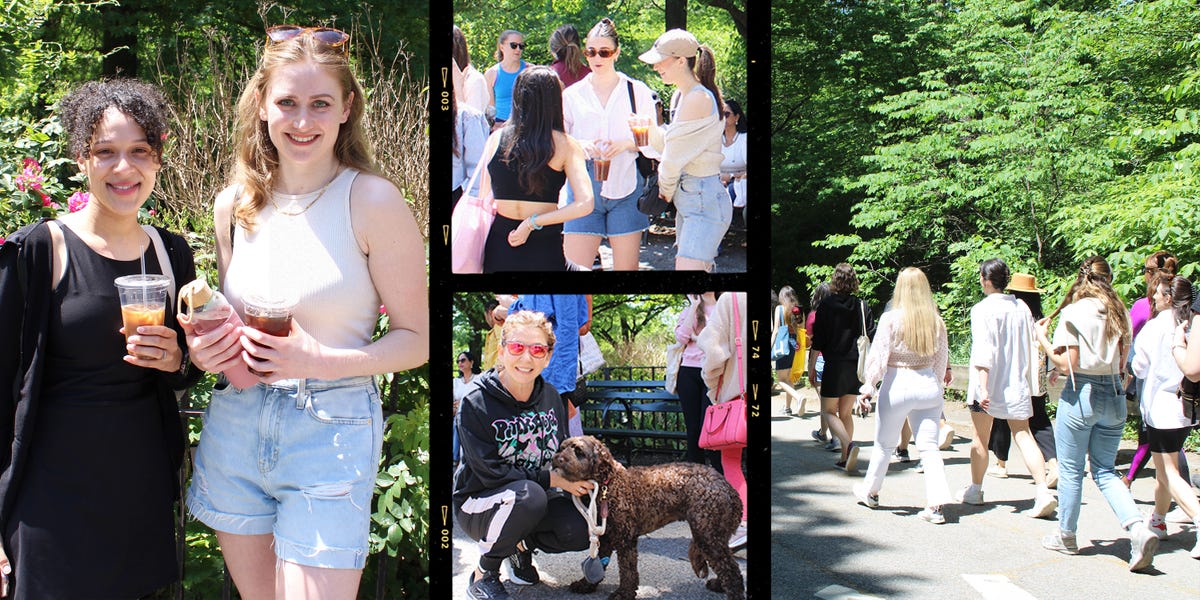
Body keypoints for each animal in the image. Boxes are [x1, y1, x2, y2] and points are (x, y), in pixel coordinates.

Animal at [549, 436, 739, 600]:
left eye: (579, 451)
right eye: (562, 448)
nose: (557, 459)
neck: (608, 486)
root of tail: (727, 488)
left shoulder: (625, 540)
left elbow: (628, 571)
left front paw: (623, 593)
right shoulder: (606, 537)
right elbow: (598, 562)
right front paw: (586, 585)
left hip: (707, 535)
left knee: (731, 570)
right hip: (715, 535)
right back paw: (719, 585)